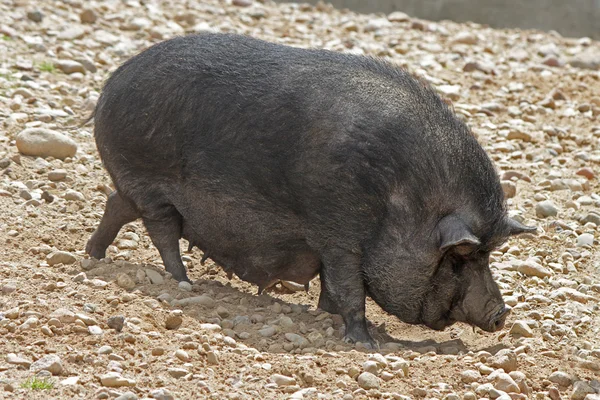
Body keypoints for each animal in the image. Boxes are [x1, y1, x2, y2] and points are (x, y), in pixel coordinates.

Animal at [84, 32, 536, 346]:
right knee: (162, 232)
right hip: (151, 185)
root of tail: (110, 85)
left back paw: (93, 256)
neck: (400, 198)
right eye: (460, 258)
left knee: (116, 204)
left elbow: (330, 287)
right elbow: (349, 288)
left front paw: (325, 315)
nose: (501, 314)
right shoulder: (338, 234)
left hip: (135, 186)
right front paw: (364, 343)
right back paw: (183, 283)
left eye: (486, 255)